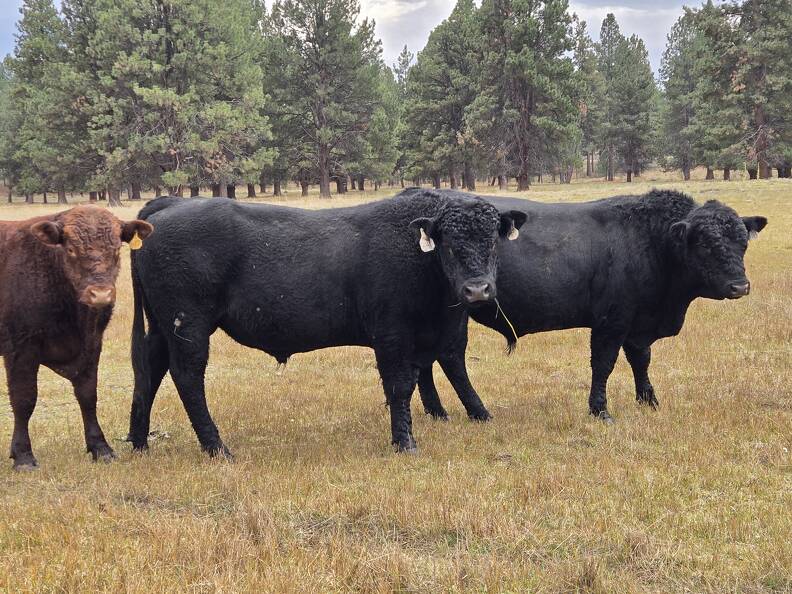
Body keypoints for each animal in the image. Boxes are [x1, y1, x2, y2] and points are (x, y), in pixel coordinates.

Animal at [0, 206, 153, 469]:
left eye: (116, 249)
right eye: (71, 249)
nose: (100, 294)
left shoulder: (91, 345)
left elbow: (88, 396)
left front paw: (101, 448)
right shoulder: (20, 348)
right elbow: (24, 399)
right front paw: (23, 456)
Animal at [126, 189, 526, 456]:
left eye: (493, 240)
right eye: (448, 242)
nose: (477, 289)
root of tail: (171, 204)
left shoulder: (435, 336)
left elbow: (435, 375)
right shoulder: (392, 335)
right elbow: (399, 386)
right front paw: (404, 442)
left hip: (162, 327)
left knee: (150, 369)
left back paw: (138, 442)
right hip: (188, 325)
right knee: (187, 377)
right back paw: (216, 447)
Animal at [415, 189, 767, 423]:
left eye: (742, 242)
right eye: (705, 244)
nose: (740, 286)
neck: (651, 241)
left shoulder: (637, 323)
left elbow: (641, 360)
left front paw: (648, 400)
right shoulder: (612, 322)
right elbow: (604, 364)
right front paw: (600, 410)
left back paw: (438, 412)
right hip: (456, 313)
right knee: (450, 357)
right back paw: (477, 412)